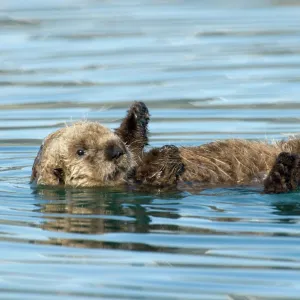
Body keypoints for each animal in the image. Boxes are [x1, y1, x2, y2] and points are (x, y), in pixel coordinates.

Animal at [31, 102, 300, 193]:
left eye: (108, 135)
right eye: (81, 151)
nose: (116, 150)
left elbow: (135, 147)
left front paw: (137, 115)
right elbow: (160, 176)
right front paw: (168, 153)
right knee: (278, 187)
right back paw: (284, 167)